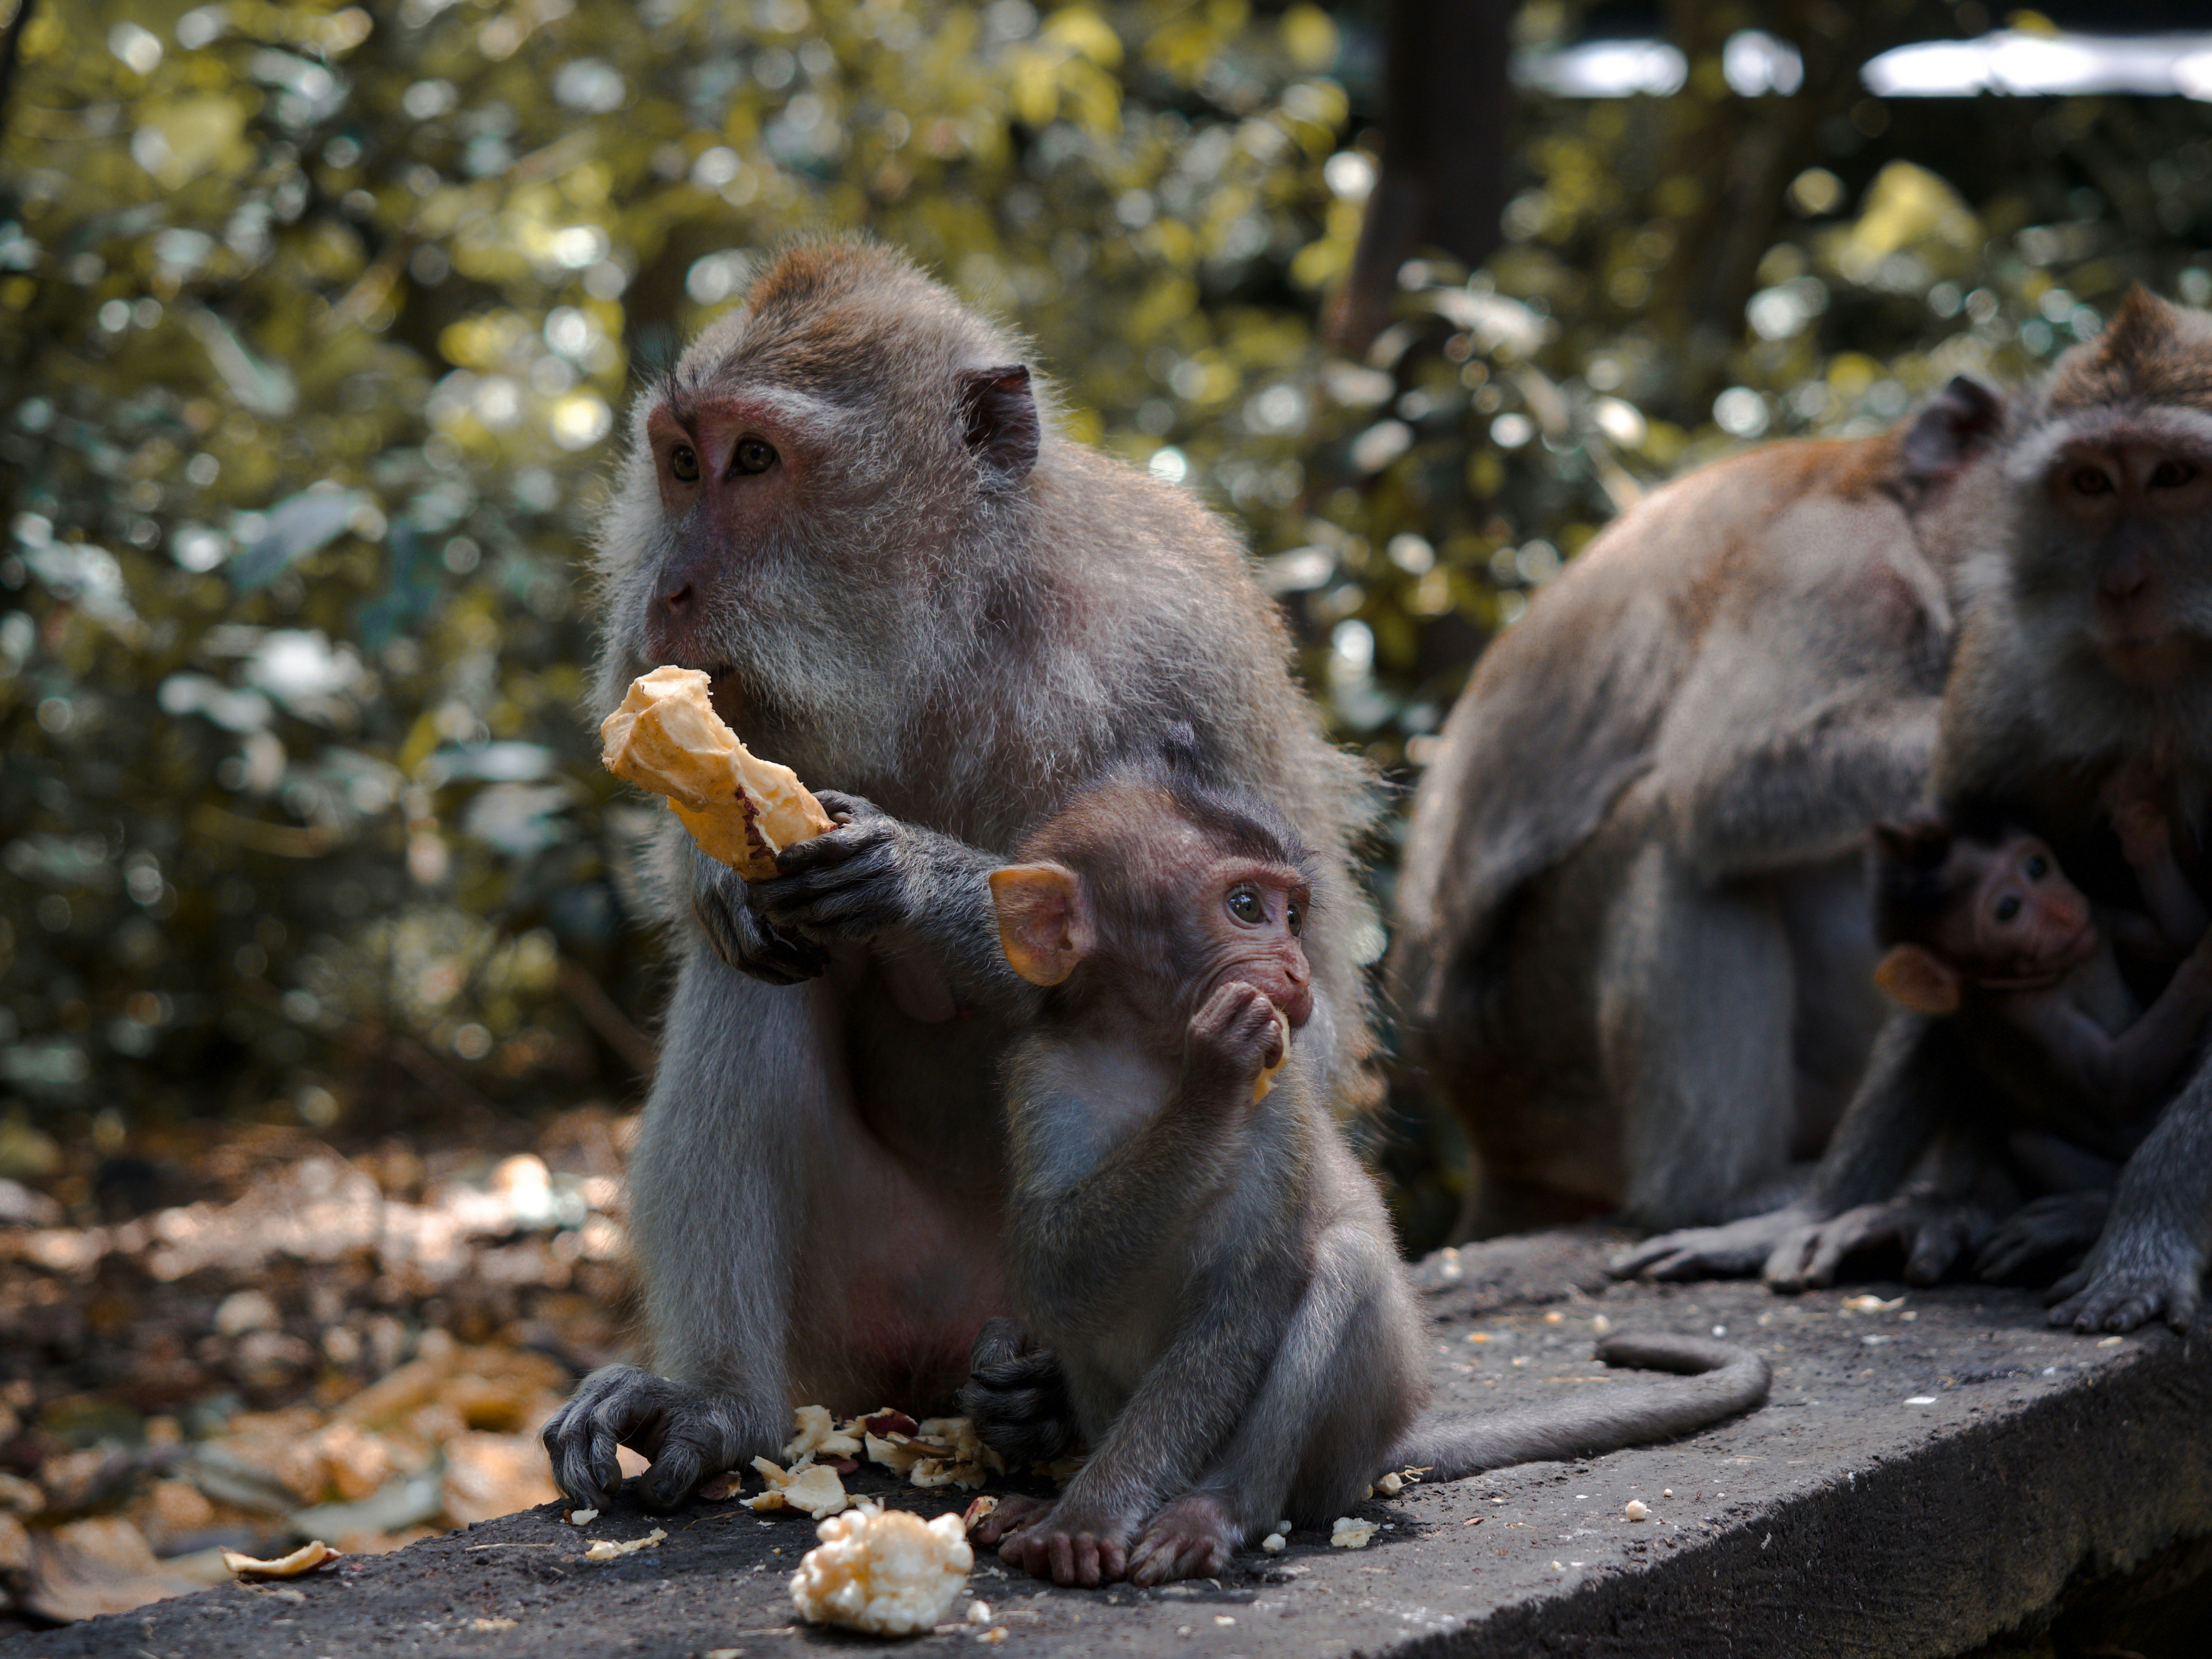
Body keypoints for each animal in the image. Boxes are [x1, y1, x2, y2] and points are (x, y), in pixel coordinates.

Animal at [540, 237, 1386, 1511]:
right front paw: (723, 873)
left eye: (754, 459)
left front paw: (924, 882)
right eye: (681, 464)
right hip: (858, 1297)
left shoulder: (1191, 647)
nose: (666, 591)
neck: (954, 637)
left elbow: (1305, 1013)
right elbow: (743, 903)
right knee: (759, 975)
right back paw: (720, 1402)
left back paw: (1040, 1407)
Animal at [957, 762, 1771, 1588]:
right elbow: (1052, 1269)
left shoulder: (1277, 1113)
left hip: (1351, 1435)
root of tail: (1387, 1450)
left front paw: (1089, 1519)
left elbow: (1244, 1300)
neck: (1147, 1055)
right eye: (1246, 907)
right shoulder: (1044, 1079)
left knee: (1342, 1265)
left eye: (1293, 914)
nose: (1297, 967)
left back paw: (1216, 1509)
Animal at [1391, 376, 2005, 1239]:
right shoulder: (1833, 570)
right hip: (1547, 1070)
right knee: (1672, 837)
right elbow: (1730, 778)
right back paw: (1714, 1196)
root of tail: (1490, 1141)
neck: (1898, 496)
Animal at [1616, 290, 2212, 1334]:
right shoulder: (1999, 672)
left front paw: (2146, 1236)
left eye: (2177, 476)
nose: (2121, 587)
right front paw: (1810, 1211)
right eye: (2091, 483)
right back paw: (1947, 1205)